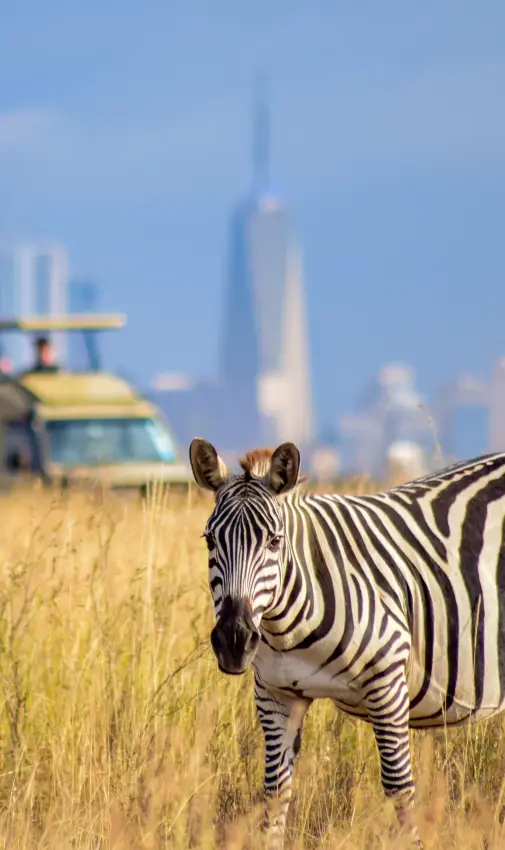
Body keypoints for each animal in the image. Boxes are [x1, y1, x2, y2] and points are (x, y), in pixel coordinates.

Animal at [189, 437, 505, 848]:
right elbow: (274, 794)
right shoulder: (275, 694)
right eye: (210, 540)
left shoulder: (388, 683)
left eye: (275, 541)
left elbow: (399, 790)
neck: (287, 628)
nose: (234, 641)